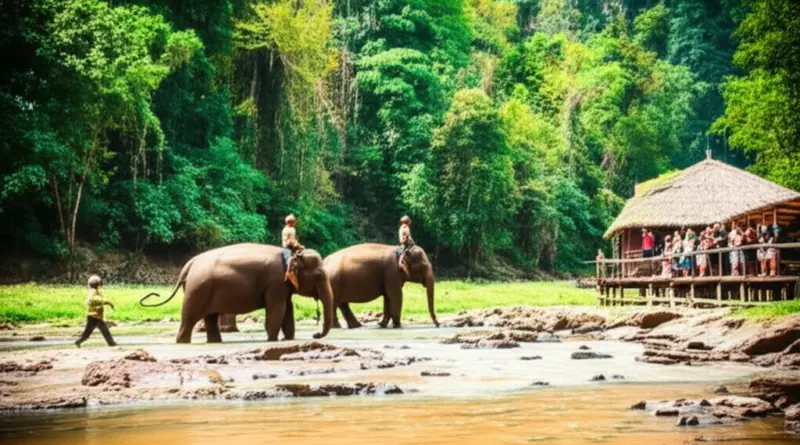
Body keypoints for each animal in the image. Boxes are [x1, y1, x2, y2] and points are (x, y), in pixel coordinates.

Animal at [140, 243, 333, 343]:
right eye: (319, 275)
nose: (315, 335)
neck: (292, 255)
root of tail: (190, 263)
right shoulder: (275, 282)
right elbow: (277, 309)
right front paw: (272, 340)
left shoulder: (282, 285)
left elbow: (288, 309)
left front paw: (288, 339)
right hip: (198, 289)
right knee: (190, 318)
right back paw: (183, 342)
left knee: (210, 317)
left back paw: (214, 342)